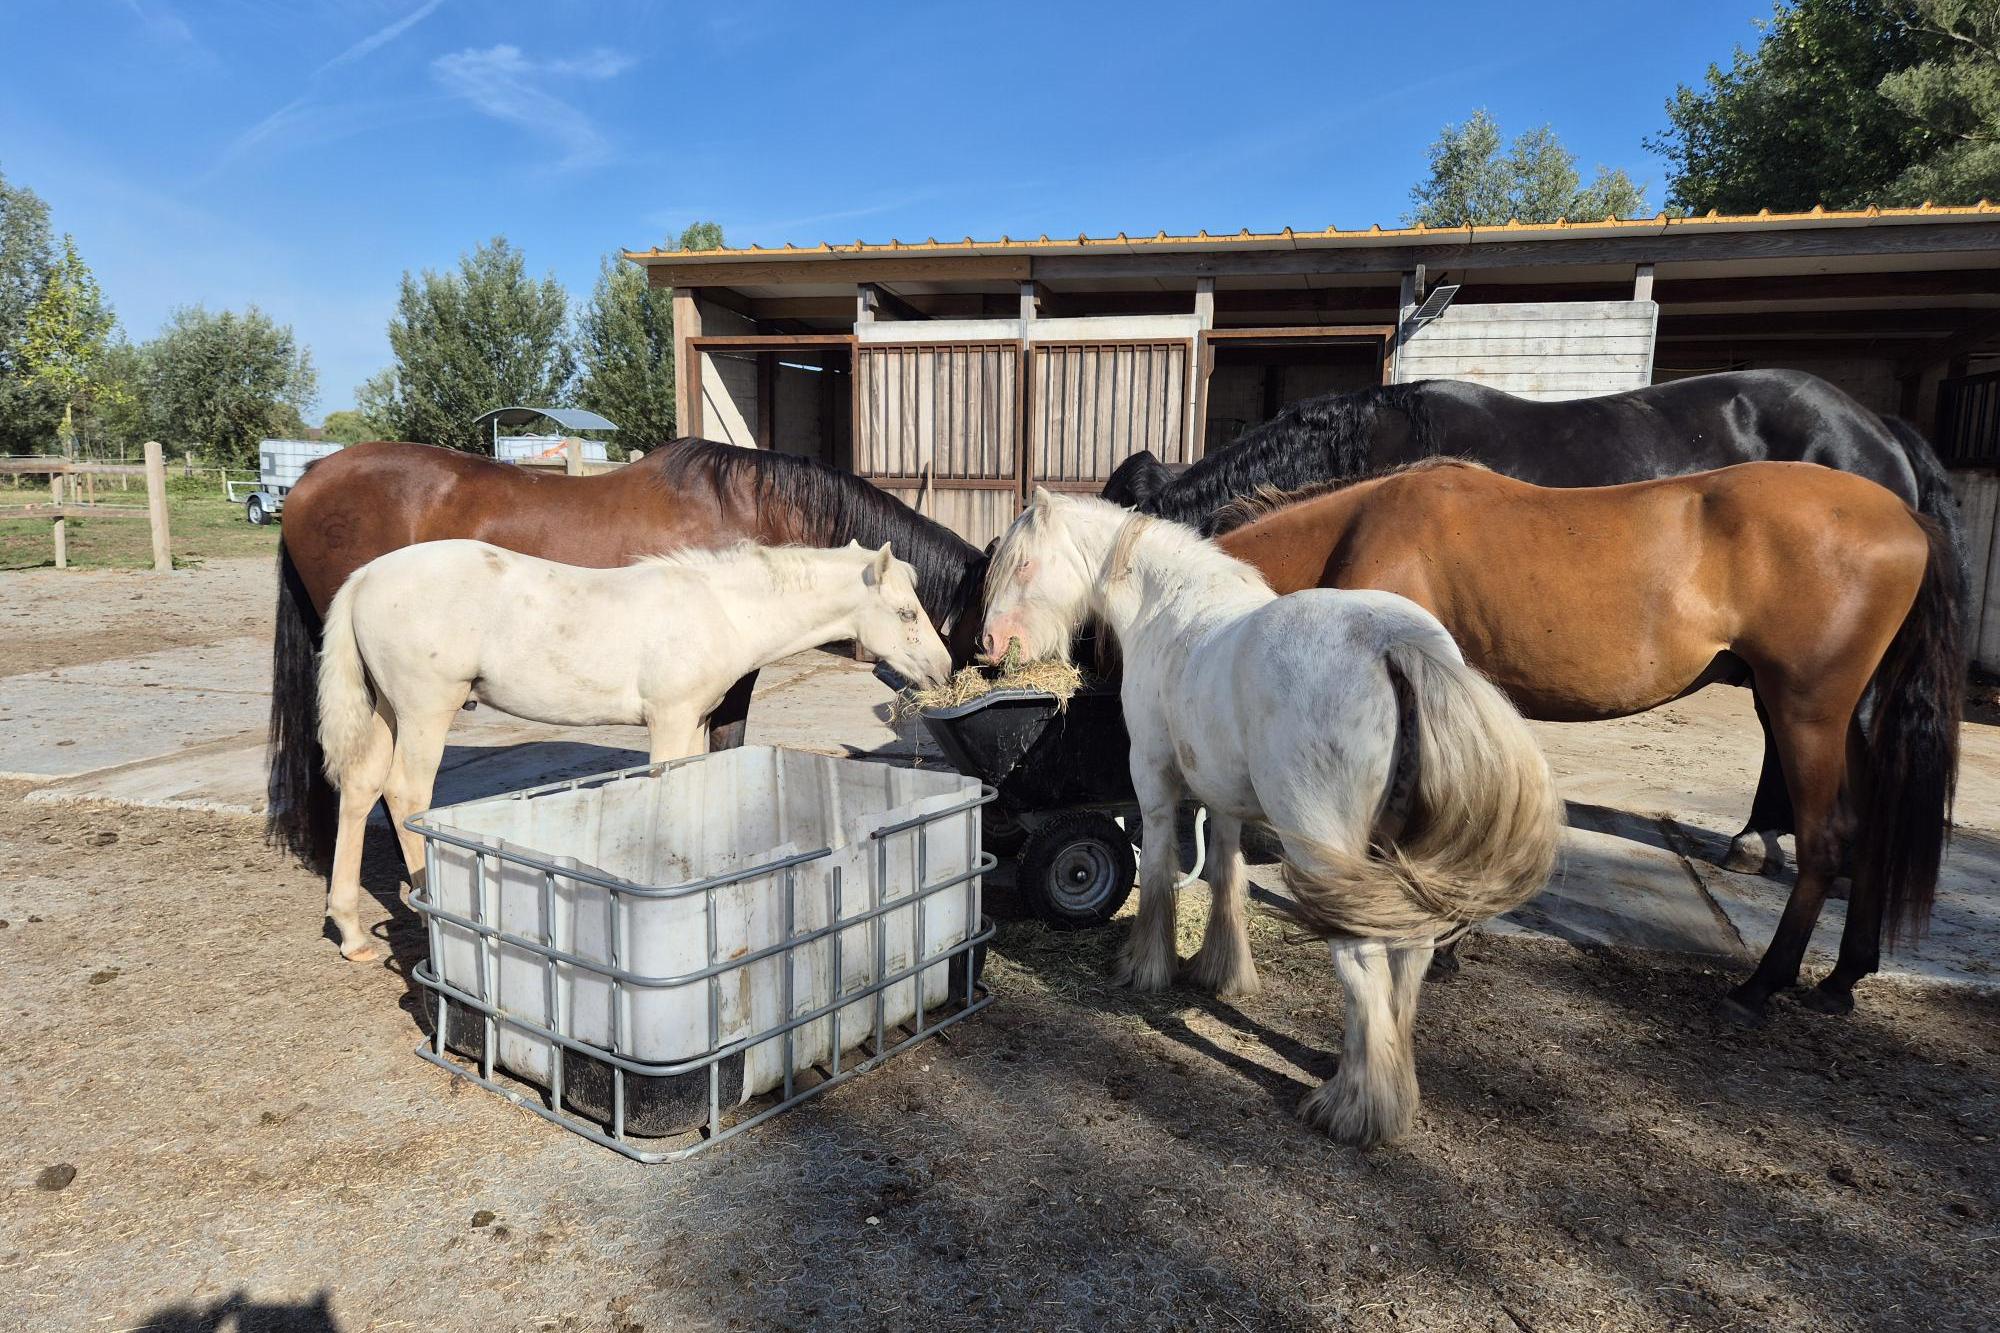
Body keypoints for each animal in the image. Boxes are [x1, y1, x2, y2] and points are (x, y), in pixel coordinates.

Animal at [315, 539, 951, 962]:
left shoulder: (693, 720)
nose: (945, 670)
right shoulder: (669, 719)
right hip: (426, 709)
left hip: (389, 709)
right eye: (905, 612)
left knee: (361, 787)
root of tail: (365, 576)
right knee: (405, 792)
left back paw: (351, 932)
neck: (722, 610)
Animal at [979, 488, 1563, 1146]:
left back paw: (1351, 1108)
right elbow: (1227, 875)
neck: (1167, 606)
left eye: (1024, 564)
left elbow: (1156, 872)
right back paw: (1389, 1090)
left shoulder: (1153, 780)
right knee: (1407, 957)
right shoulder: (1223, 798)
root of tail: (1396, 647)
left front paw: (1145, 966)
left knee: (1362, 961)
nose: (991, 645)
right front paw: (1222, 972)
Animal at [1213, 459, 1963, 1022]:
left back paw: (1761, 985)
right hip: (1846, 720)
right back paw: (1841, 979)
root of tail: (1909, 519)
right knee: (1870, 828)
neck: (1360, 529)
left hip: (1806, 711)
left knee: (1826, 842)